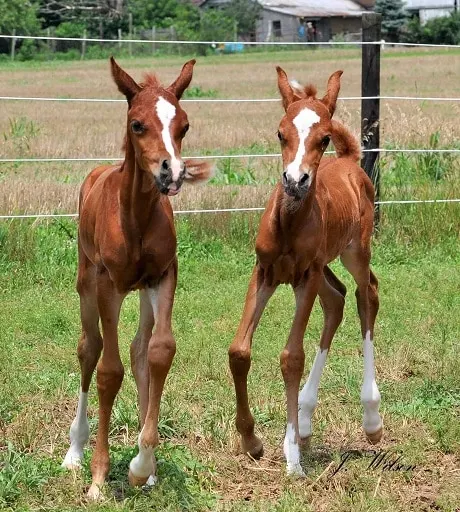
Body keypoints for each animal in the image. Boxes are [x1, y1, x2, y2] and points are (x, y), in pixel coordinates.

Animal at [62, 58, 211, 498]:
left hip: (142, 292)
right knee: (89, 348)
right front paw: (98, 478)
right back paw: (75, 451)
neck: (136, 217)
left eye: (184, 125)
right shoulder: (108, 285)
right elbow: (109, 372)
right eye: (137, 124)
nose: (172, 172)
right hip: (85, 282)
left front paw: (142, 466)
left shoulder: (163, 276)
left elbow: (160, 352)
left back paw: (150, 471)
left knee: (139, 349)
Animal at [228, 67, 382, 476]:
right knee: (337, 299)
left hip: (354, 252)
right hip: (324, 266)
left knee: (366, 295)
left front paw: (293, 456)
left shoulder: (304, 278)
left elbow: (291, 356)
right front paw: (252, 441)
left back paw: (371, 419)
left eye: (323, 137)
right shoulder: (264, 272)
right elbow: (239, 351)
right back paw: (307, 419)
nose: (295, 181)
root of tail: (350, 160)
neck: (289, 225)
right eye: (280, 132)